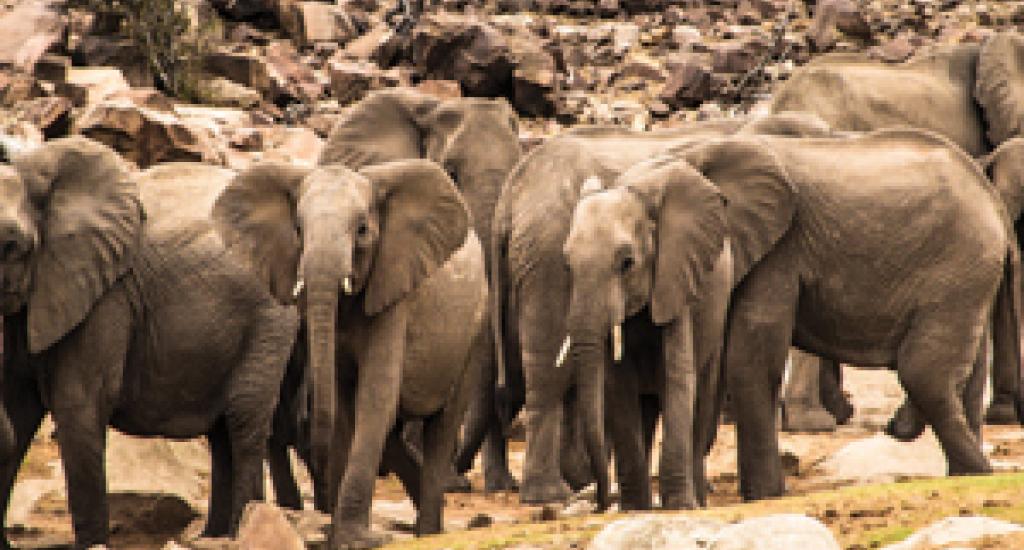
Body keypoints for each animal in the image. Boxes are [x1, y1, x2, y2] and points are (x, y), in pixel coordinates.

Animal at [0, 137, 299, 548]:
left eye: (11, 245)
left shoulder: (105, 297)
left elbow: (79, 408)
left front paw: (93, 544)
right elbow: (18, 408)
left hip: (269, 319)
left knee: (243, 421)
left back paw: (239, 531)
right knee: (221, 433)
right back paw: (214, 536)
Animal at [210, 158, 489, 548]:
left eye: (361, 230)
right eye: (298, 229)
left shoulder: (394, 292)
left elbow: (375, 399)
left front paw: (355, 538)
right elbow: (346, 409)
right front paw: (337, 536)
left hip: (473, 336)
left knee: (442, 426)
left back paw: (429, 531)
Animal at [682, 129, 1020, 501]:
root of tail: (994, 204)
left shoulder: (779, 249)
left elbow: (751, 356)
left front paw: (766, 495)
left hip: (958, 267)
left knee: (923, 372)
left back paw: (958, 459)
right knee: (965, 375)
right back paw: (961, 470)